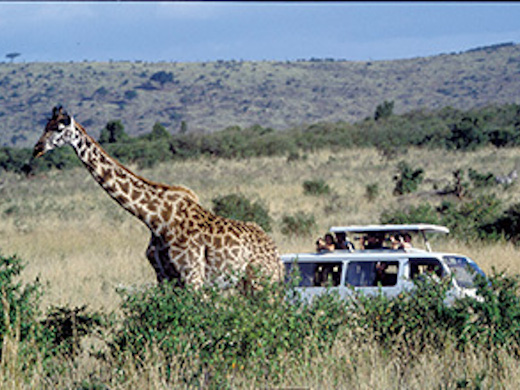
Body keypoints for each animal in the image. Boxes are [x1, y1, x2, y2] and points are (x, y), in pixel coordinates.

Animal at [32, 106, 282, 290]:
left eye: (59, 128)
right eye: (45, 126)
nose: (37, 148)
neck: (155, 218)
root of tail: (276, 253)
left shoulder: (193, 277)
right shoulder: (164, 278)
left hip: (264, 282)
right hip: (246, 284)